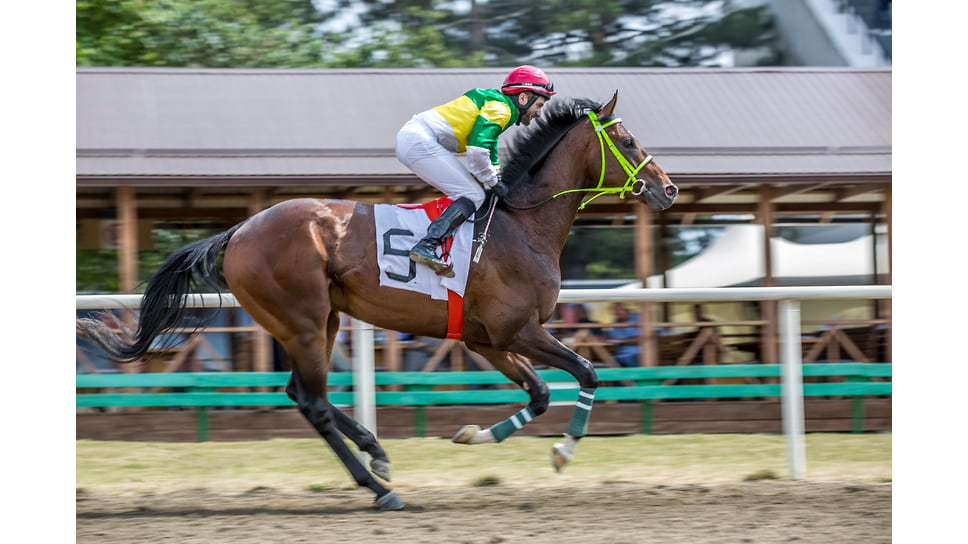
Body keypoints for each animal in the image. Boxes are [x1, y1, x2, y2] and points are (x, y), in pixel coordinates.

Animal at [75, 91, 676, 508]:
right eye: (627, 141)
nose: (667, 189)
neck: (520, 223)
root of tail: (239, 230)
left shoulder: (486, 340)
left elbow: (541, 394)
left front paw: (474, 435)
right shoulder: (516, 330)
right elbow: (586, 373)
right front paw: (562, 451)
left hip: (323, 320)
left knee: (302, 393)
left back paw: (377, 453)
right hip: (301, 320)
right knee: (313, 401)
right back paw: (378, 485)